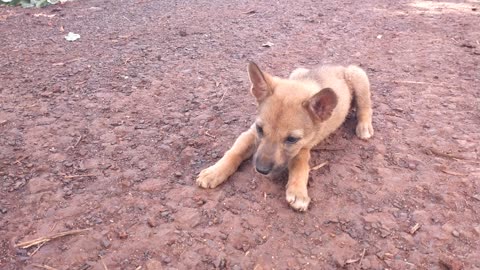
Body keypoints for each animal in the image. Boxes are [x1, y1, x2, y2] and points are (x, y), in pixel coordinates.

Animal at [196, 62, 376, 212]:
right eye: (260, 129)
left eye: (291, 139)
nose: (261, 170)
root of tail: (338, 66)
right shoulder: (250, 133)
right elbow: (234, 152)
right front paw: (214, 171)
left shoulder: (302, 147)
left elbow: (300, 165)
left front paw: (298, 191)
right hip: (297, 70)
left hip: (358, 76)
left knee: (365, 106)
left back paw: (364, 126)